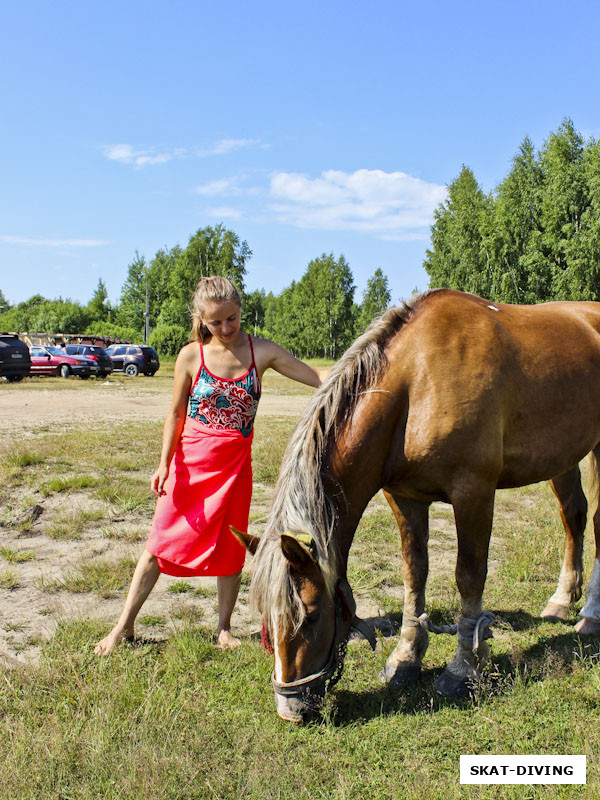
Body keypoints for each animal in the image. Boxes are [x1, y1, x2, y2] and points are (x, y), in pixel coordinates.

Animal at [232, 290, 600, 720]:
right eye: (264, 616)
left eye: (311, 614)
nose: (291, 708)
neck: (418, 381)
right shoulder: (404, 498)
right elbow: (414, 574)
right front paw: (405, 658)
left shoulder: (474, 492)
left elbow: (469, 576)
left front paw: (462, 670)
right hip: (562, 456)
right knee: (573, 516)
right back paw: (562, 600)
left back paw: (591, 614)